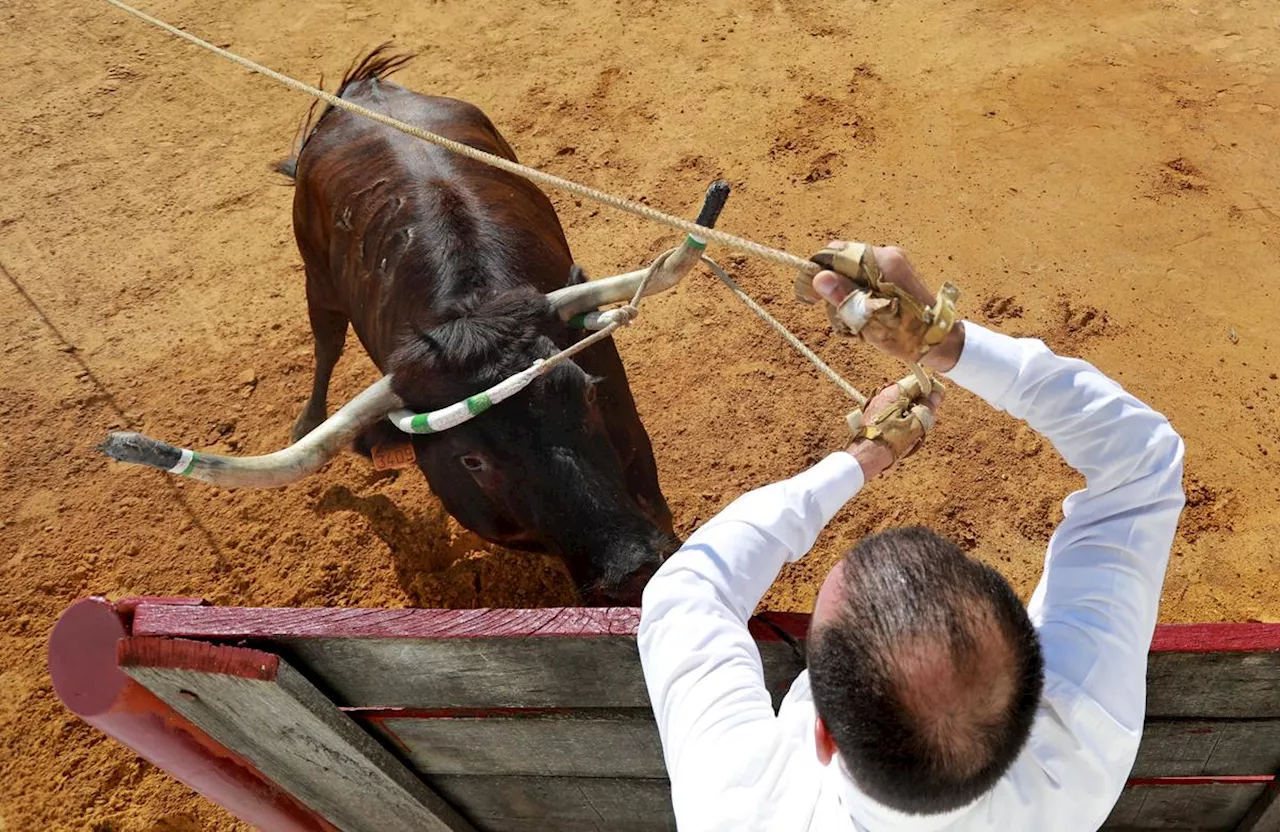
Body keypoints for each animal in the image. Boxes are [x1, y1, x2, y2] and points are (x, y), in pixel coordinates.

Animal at [98, 45, 727, 599]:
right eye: (470, 458)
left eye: (588, 396)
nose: (632, 570)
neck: (469, 306)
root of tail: (360, 92)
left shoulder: (638, 460)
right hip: (315, 276)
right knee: (325, 344)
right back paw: (307, 422)